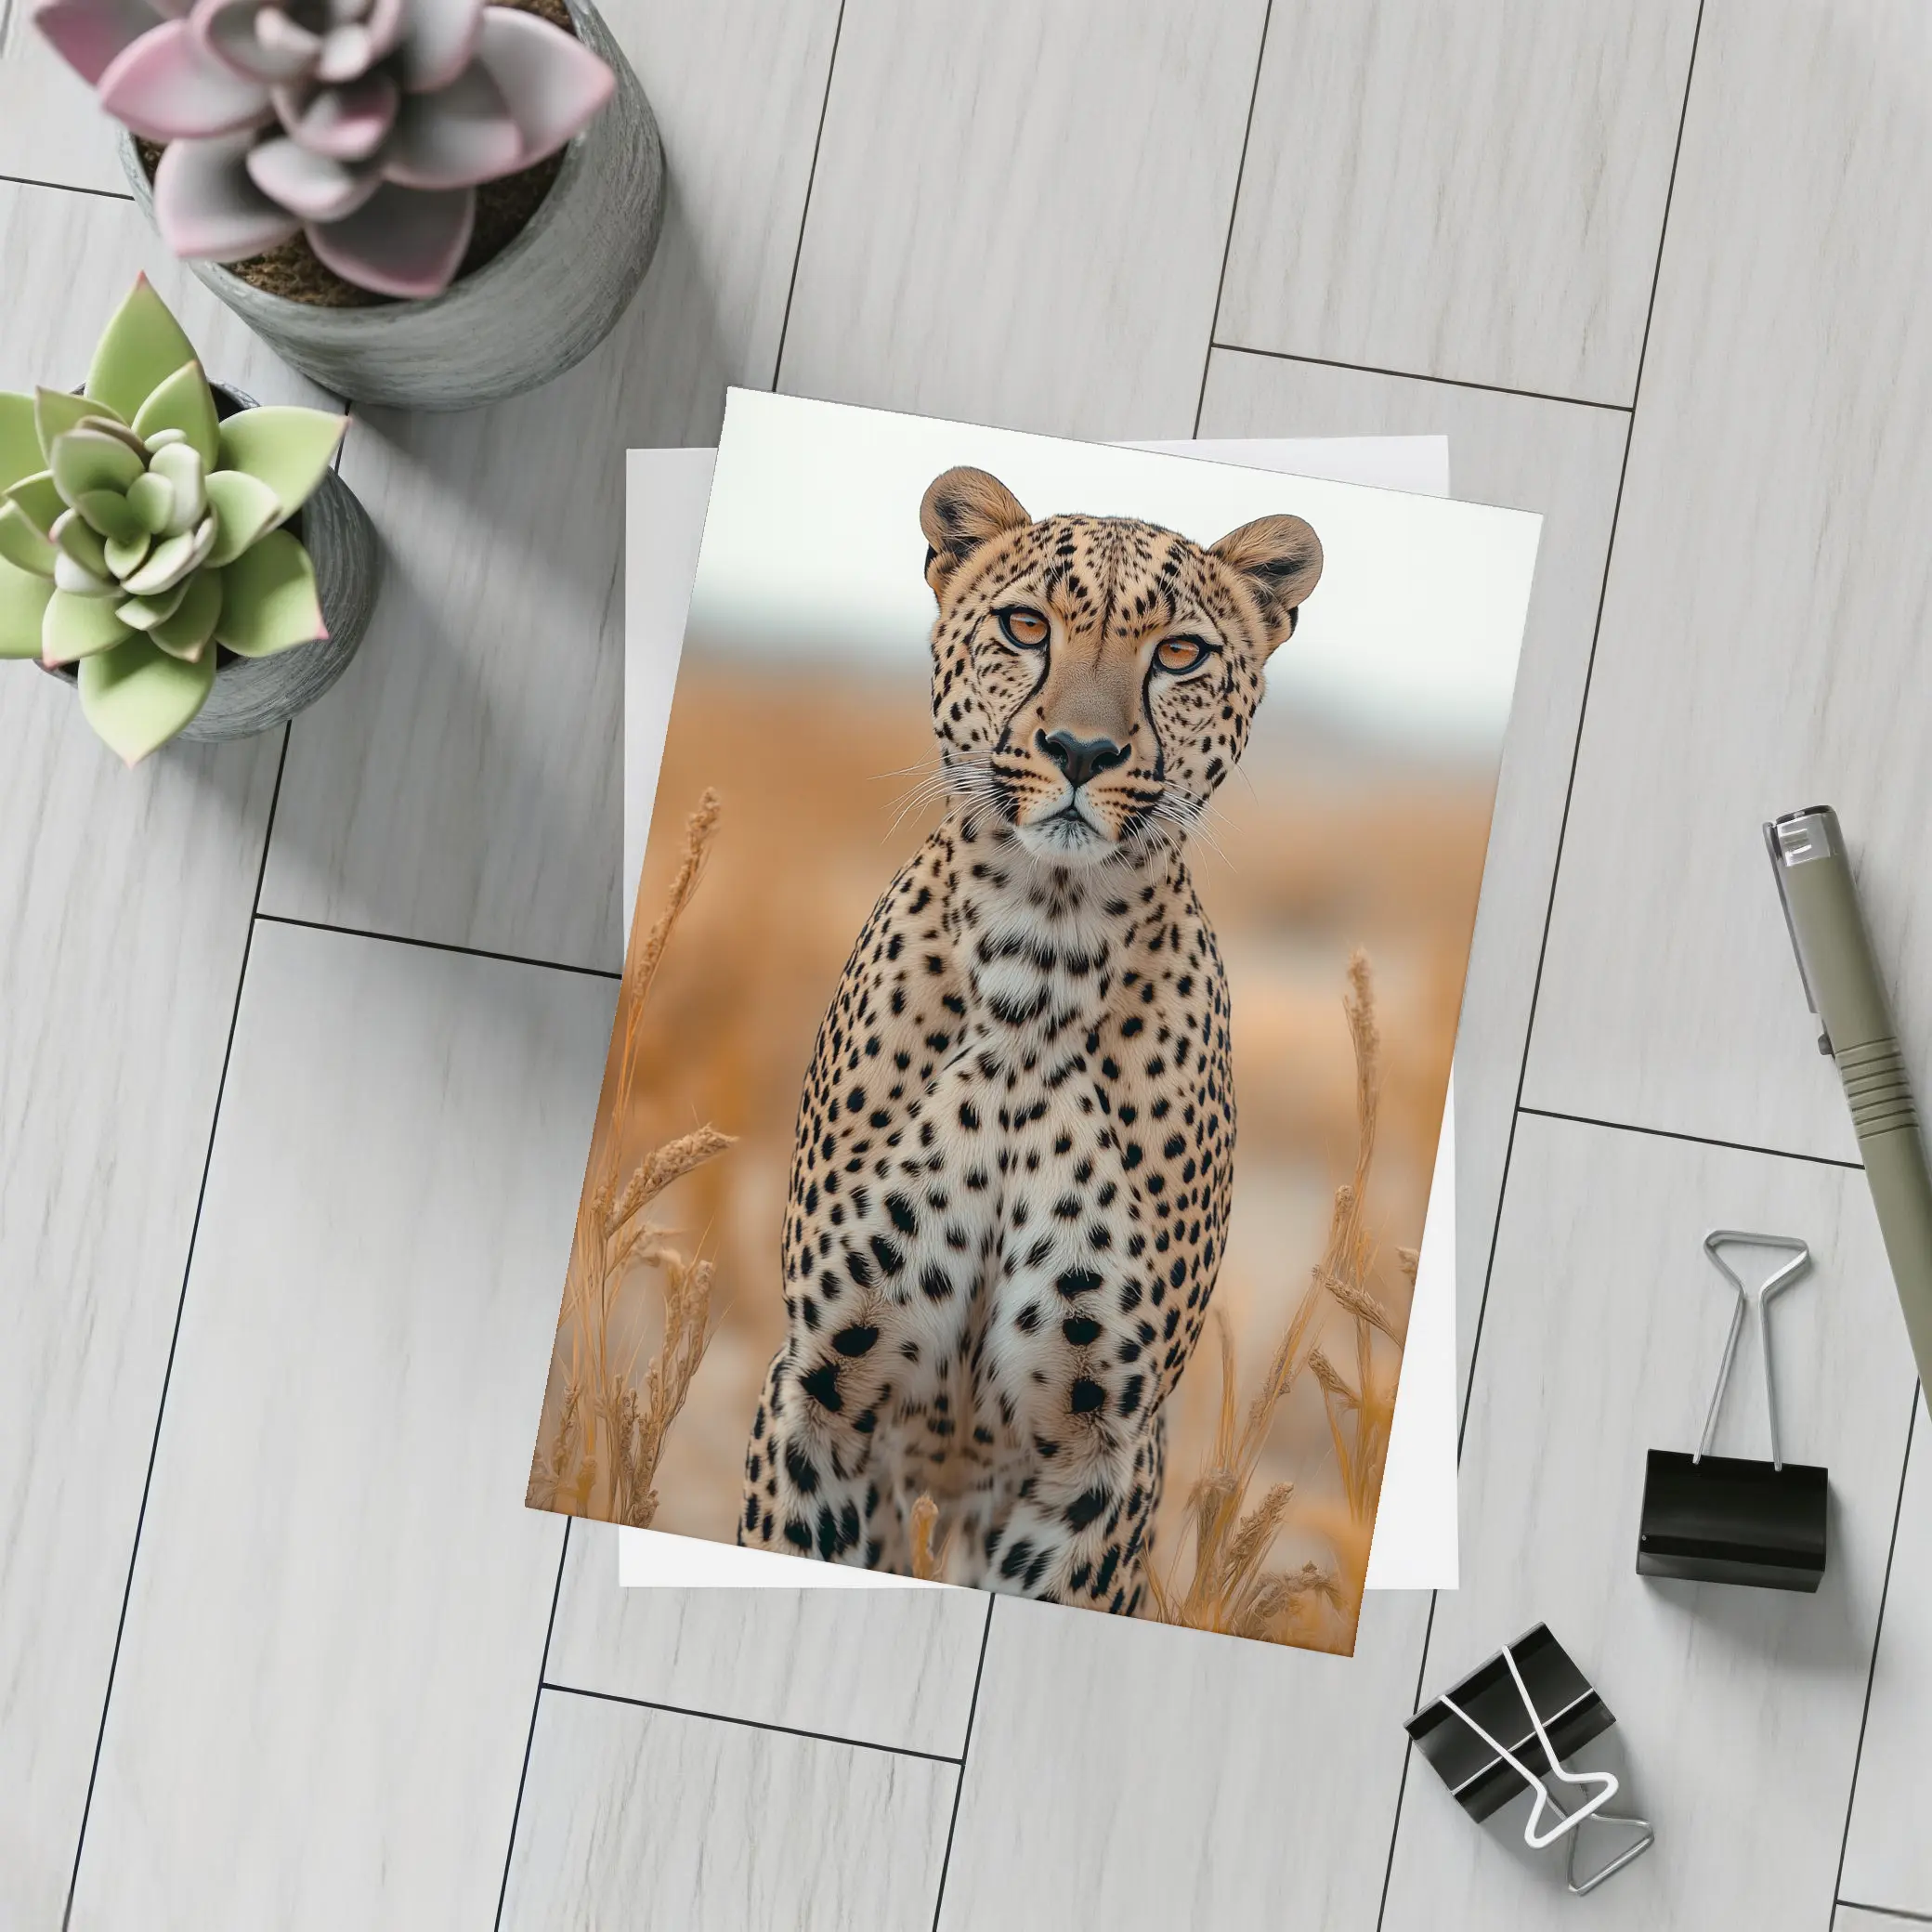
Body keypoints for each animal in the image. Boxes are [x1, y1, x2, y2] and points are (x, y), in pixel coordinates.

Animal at [737, 462, 1322, 1615]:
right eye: (1024, 626)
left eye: (1178, 653)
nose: (1082, 751)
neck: (1038, 958)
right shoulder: (820, 1396)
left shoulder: (1096, 1455)